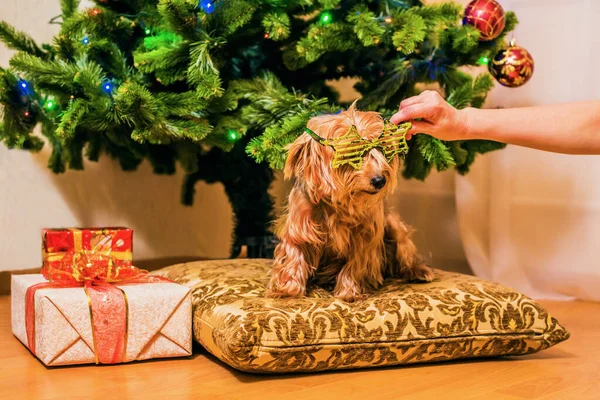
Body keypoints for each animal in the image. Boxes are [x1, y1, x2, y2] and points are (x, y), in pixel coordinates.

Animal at [270, 104, 434, 302]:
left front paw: (349, 292)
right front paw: (288, 289)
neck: (337, 203)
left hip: (393, 225)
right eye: (352, 153)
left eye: (382, 150)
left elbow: (355, 264)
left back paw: (418, 270)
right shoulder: (300, 226)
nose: (380, 180)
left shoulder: (365, 234)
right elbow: (295, 252)